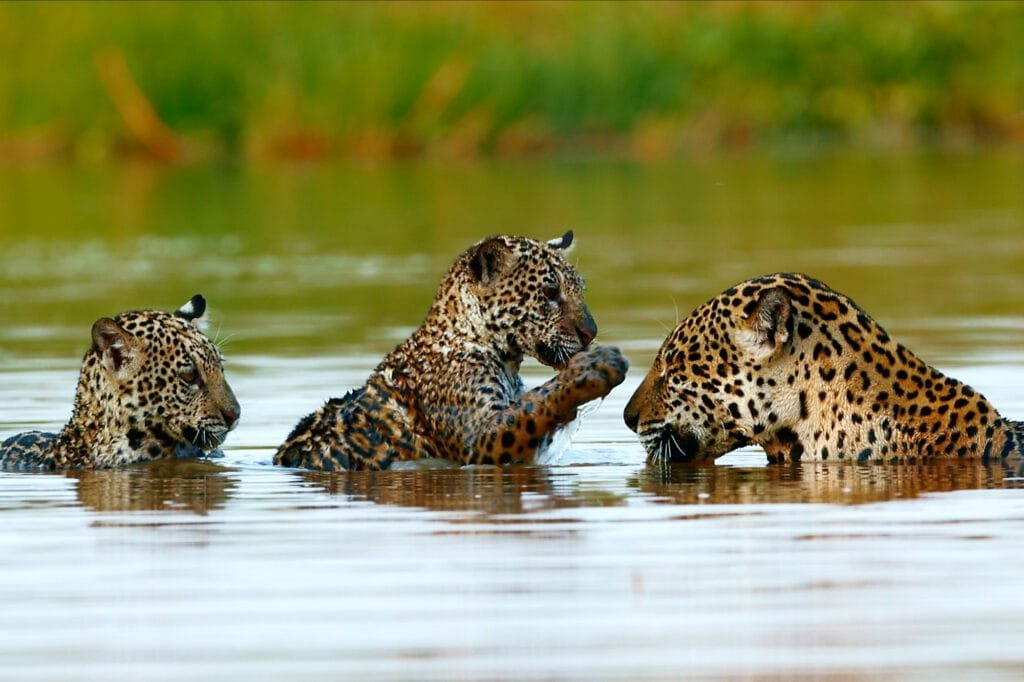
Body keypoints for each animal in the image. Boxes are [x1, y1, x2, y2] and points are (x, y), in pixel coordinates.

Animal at [274, 231, 629, 471]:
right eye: (550, 292)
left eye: (579, 289)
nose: (591, 332)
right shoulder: (480, 439)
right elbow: (533, 405)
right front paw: (594, 367)